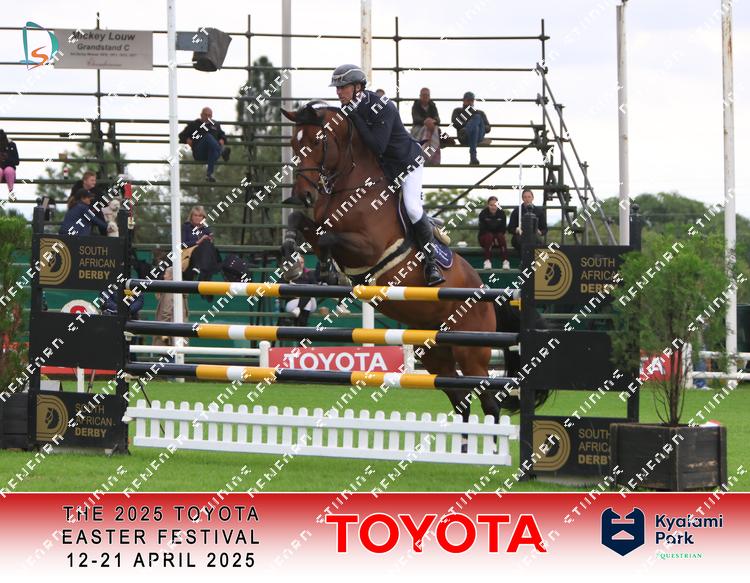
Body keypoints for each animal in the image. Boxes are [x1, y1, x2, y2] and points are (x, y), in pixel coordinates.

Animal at [279, 101, 542, 429]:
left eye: (317, 142)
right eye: (293, 143)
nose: (302, 195)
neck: (353, 186)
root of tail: (484, 292)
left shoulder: (368, 248)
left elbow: (328, 238)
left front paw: (328, 271)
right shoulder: (318, 227)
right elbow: (304, 224)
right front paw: (291, 246)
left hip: (471, 351)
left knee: (489, 402)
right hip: (433, 353)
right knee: (461, 400)